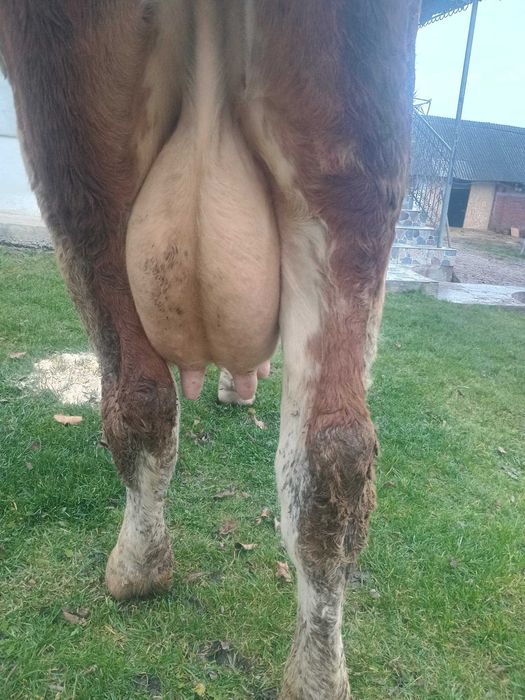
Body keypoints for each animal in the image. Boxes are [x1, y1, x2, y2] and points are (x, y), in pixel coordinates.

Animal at [0, 2, 420, 697]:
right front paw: (238, 387)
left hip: (61, 97)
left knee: (140, 391)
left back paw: (137, 571)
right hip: (350, 147)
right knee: (331, 450)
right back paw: (313, 674)